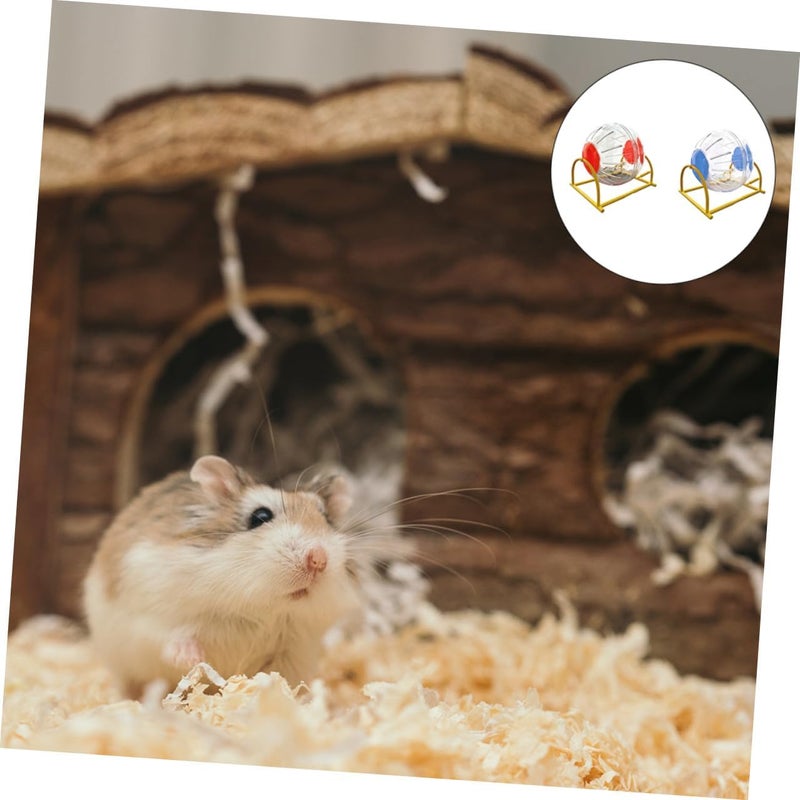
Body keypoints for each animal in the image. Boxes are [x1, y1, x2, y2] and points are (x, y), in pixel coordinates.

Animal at [83, 455, 363, 698]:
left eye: (326, 518)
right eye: (260, 516)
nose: (319, 559)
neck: (261, 608)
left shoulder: (294, 650)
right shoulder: (152, 613)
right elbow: (172, 637)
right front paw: (194, 659)